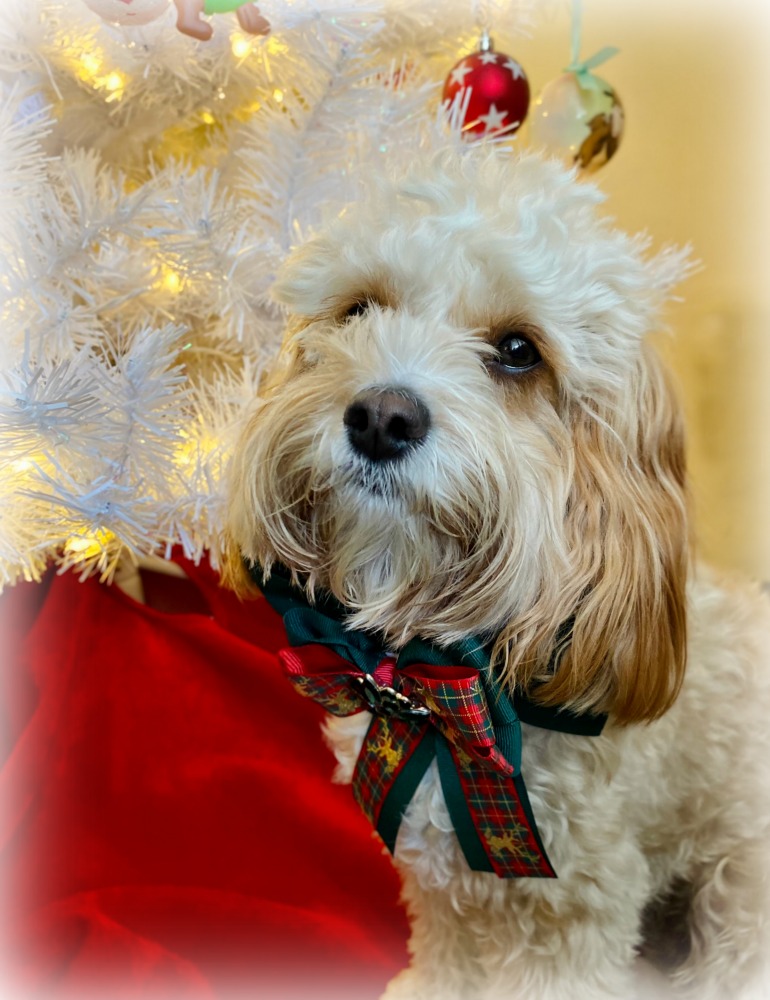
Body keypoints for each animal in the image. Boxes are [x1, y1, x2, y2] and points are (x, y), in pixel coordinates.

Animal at [226, 148, 768, 1000]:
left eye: (519, 352)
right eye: (358, 310)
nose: (381, 417)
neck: (441, 689)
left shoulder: (573, 915)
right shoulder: (443, 885)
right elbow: (449, 955)